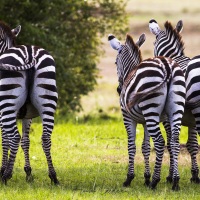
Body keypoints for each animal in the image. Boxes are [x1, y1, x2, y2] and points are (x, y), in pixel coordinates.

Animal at [0, 20, 58, 184]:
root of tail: (29, 54)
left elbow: (5, 140)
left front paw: (3, 170)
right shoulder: (28, 116)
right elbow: (25, 141)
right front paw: (28, 173)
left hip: (7, 104)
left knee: (14, 137)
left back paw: (5, 177)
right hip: (47, 100)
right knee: (45, 138)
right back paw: (53, 176)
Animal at [109, 32, 186, 190]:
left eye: (115, 63)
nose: (119, 89)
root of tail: (166, 66)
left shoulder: (128, 117)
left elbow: (131, 146)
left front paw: (129, 178)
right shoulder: (144, 121)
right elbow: (145, 147)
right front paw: (146, 177)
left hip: (151, 110)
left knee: (160, 142)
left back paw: (155, 181)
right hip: (175, 109)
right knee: (174, 141)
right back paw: (175, 181)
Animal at [149, 19, 199, 184]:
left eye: (153, 43)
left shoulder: (167, 117)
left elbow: (171, 143)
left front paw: (171, 176)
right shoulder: (191, 120)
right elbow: (192, 145)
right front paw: (195, 175)